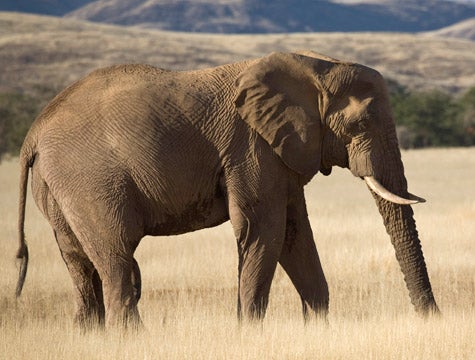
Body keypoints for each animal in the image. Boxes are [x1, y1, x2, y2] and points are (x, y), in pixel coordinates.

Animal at [13, 50, 438, 330]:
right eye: (361, 123)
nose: (431, 317)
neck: (315, 66)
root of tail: (34, 131)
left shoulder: (279, 153)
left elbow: (294, 234)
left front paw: (316, 328)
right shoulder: (250, 148)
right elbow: (264, 230)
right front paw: (249, 332)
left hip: (57, 186)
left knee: (79, 264)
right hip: (89, 180)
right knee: (117, 260)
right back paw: (132, 339)